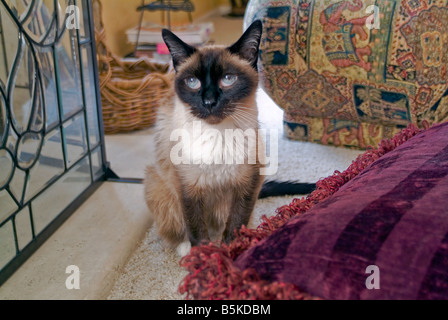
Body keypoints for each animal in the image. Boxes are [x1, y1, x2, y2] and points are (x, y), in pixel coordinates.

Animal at [144, 20, 316, 256]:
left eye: (228, 79)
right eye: (192, 82)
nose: (209, 102)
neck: (218, 134)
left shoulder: (247, 183)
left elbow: (235, 223)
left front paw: (231, 252)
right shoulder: (187, 188)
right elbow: (196, 229)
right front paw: (204, 259)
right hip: (160, 188)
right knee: (177, 228)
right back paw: (185, 249)